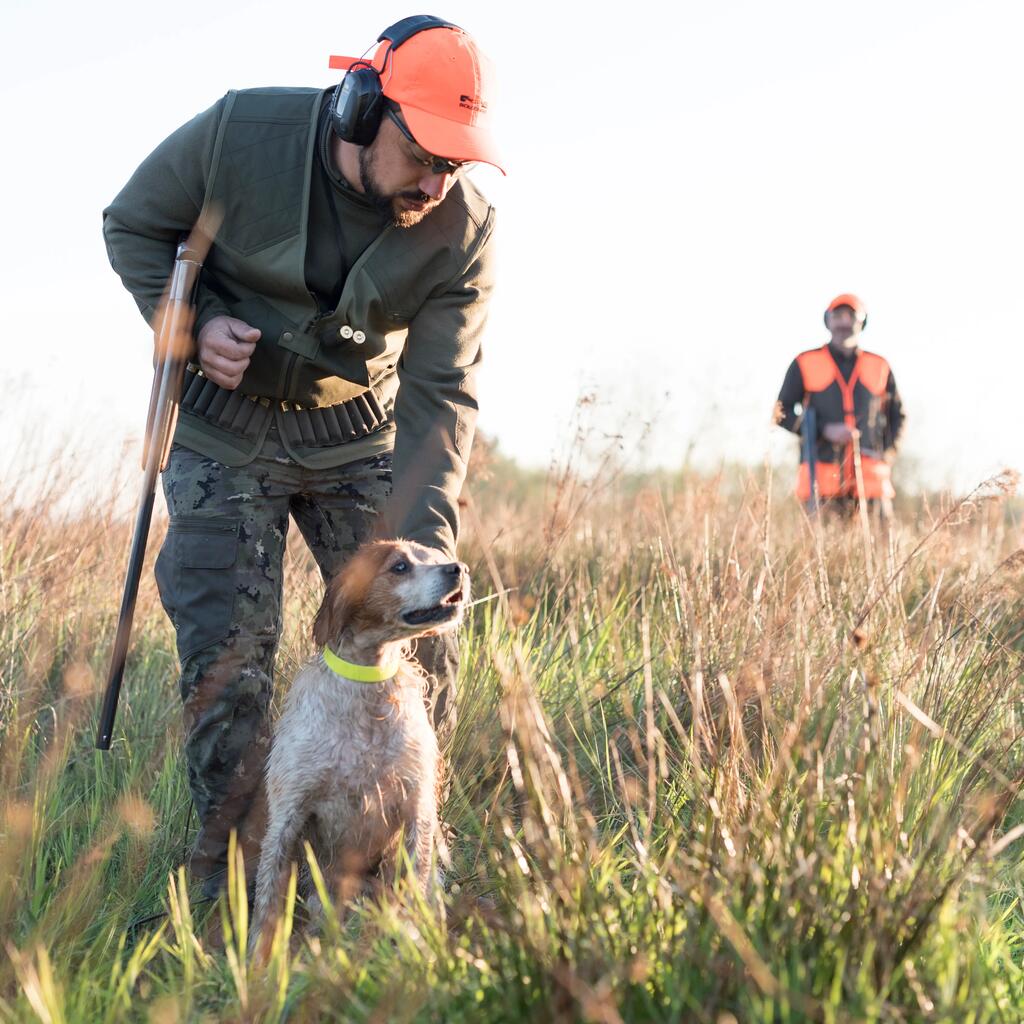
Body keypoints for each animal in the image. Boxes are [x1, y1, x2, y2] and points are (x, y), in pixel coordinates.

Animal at [249, 536, 466, 958]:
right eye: (400, 566)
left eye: (436, 556)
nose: (458, 569)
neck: (368, 683)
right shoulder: (288, 813)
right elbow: (267, 902)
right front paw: (255, 962)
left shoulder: (416, 808)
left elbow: (415, 888)